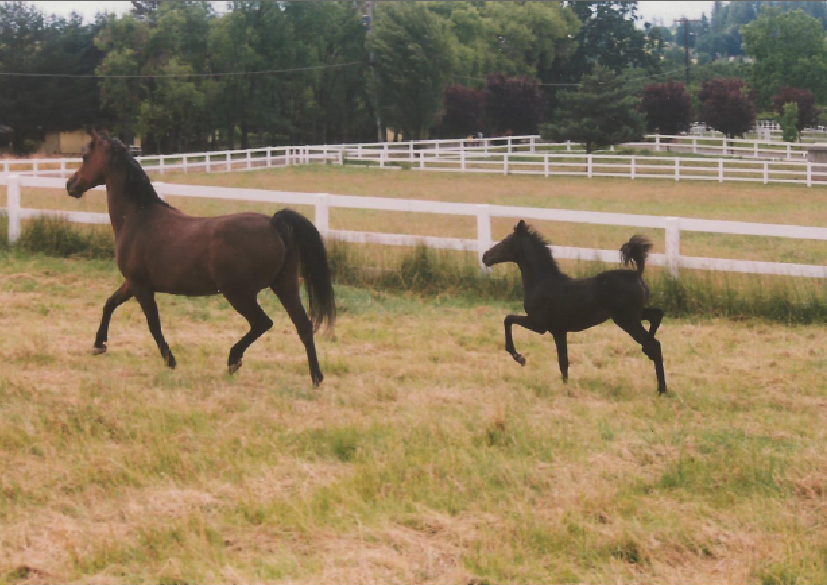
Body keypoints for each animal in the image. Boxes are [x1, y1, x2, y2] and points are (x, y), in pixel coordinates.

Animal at [64, 129, 334, 384]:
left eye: (85, 156)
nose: (70, 184)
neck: (137, 216)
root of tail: (273, 223)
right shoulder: (132, 283)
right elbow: (109, 304)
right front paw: (98, 344)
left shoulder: (141, 286)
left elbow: (153, 324)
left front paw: (170, 361)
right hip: (284, 285)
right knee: (303, 326)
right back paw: (316, 378)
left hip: (239, 293)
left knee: (263, 322)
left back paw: (234, 359)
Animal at [482, 221, 668, 394]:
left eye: (505, 242)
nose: (485, 257)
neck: (543, 282)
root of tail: (637, 274)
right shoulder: (558, 330)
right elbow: (563, 362)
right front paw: (566, 388)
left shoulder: (538, 324)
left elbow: (508, 319)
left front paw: (519, 357)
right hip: (633, 316)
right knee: (656, 316)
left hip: (626, 320)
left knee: (655, 345)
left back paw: (662, 389)